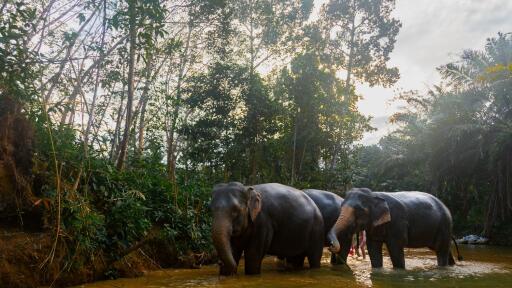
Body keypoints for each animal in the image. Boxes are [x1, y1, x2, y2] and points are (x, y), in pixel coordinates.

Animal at [328, 188, 464, 268]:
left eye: (360, 211)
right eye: (341, 206)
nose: (330, 246)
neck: (373, 194)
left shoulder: (397, 222)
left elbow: (395, 247)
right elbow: (373, 248)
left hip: (444, 225)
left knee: (441, 250)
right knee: (444, 249)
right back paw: (452, 266)